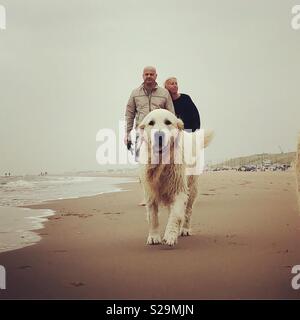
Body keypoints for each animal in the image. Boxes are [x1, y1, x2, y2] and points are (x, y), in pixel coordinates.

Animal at [138, 109, 213, 246]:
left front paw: (170, 235)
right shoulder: (150, 192)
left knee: (188, 211)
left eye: (168, 122)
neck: (161, 163)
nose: (159, 135)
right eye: (151, 123)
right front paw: (154, 236)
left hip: (191, 187)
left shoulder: (179, 189)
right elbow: (152, 216)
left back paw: (185, 229)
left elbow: (176, 214)